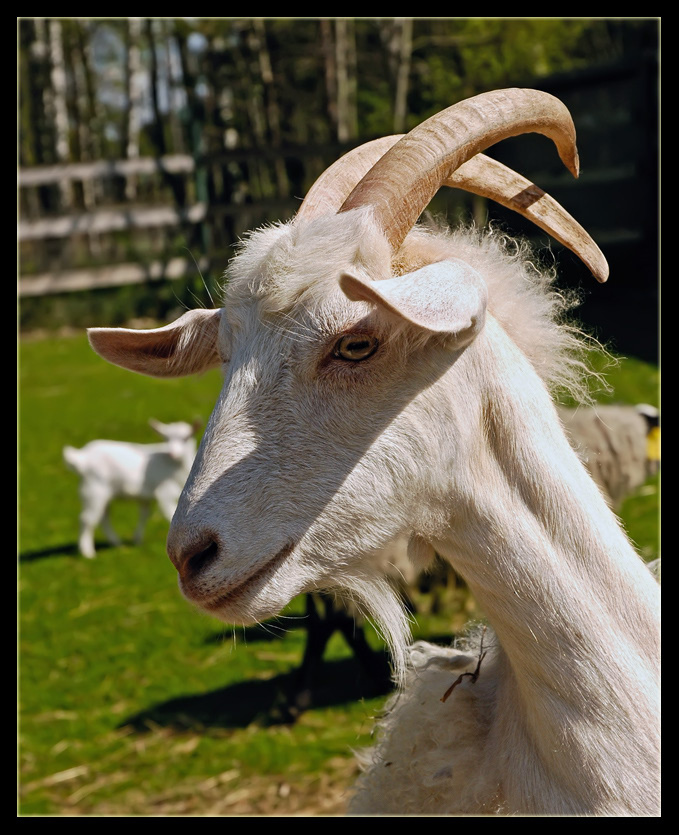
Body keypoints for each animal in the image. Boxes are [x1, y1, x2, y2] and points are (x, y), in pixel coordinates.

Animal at [63, 419, 198, 558]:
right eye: (165, 438)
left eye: (186, 438)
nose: (173, 454)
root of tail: (81, 459)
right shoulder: (165, 493)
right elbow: (171, 516)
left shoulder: (145, 497)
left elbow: (144, 515)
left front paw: (137, 540)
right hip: (93, 490)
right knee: (86, 519)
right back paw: (88, 552)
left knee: (103, 517)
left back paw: (116, 543)